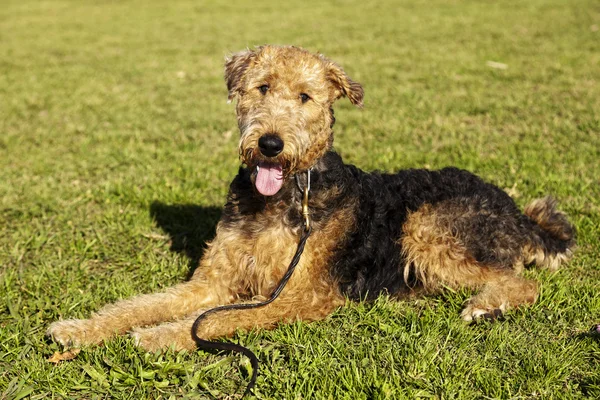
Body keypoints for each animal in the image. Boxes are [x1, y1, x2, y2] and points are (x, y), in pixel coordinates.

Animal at [45, 45, 572, 354]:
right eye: (261, 87)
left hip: (425, 229)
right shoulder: (213, 281)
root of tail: (520, 216)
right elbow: (141, 304)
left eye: (305, 96)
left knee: (520, 283)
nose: (271, 144)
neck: (289, 196)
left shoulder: (300, 293)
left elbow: (209, 324)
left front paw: (161, 336)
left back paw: (485, 307)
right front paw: (79, 329)